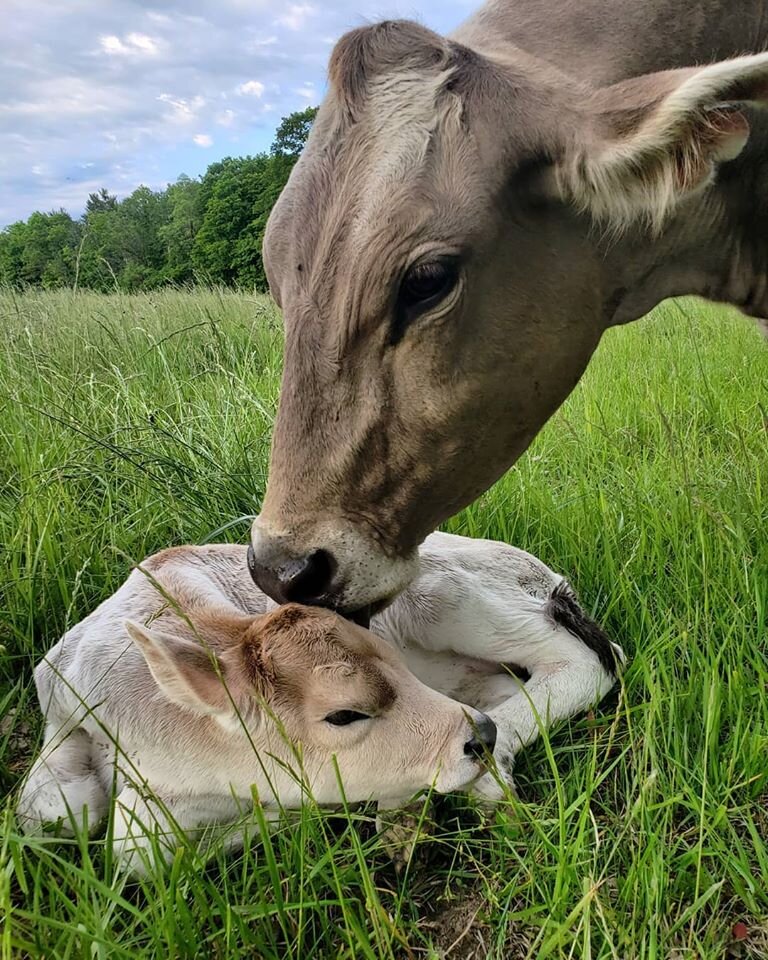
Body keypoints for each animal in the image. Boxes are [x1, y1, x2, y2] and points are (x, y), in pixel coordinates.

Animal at [18, 532, 620, 872]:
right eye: (344, 713)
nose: (479, 737)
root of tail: (549, 577)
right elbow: (60, 816)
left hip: (444, 595)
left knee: (593, 660)